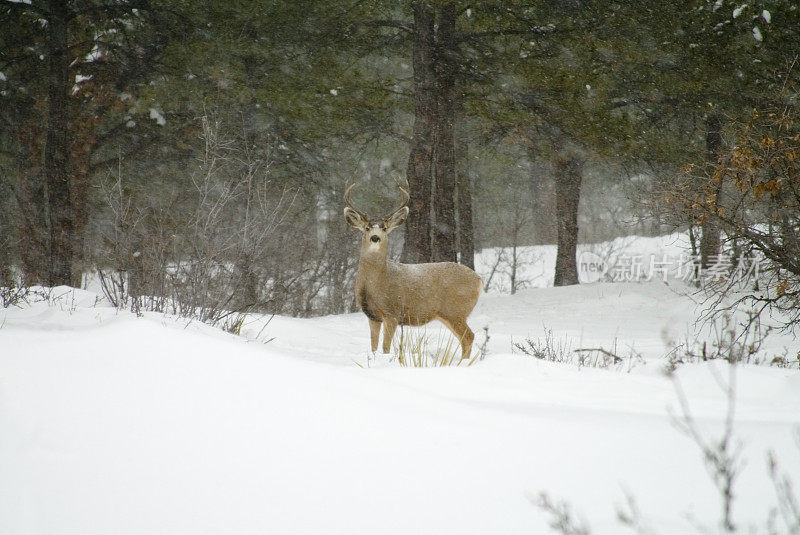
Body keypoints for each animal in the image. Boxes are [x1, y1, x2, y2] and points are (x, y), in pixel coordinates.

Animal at [342, 183, 482, 360]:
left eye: (384, 228)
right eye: (367, 228)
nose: (375, 237)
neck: (376, 284)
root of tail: (479, 280)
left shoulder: (393, 312)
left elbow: (385, 347)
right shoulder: (372, 316)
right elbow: (373, 347)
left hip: (455, 310)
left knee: (469, 336)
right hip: (447, 314)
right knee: (465, 338)